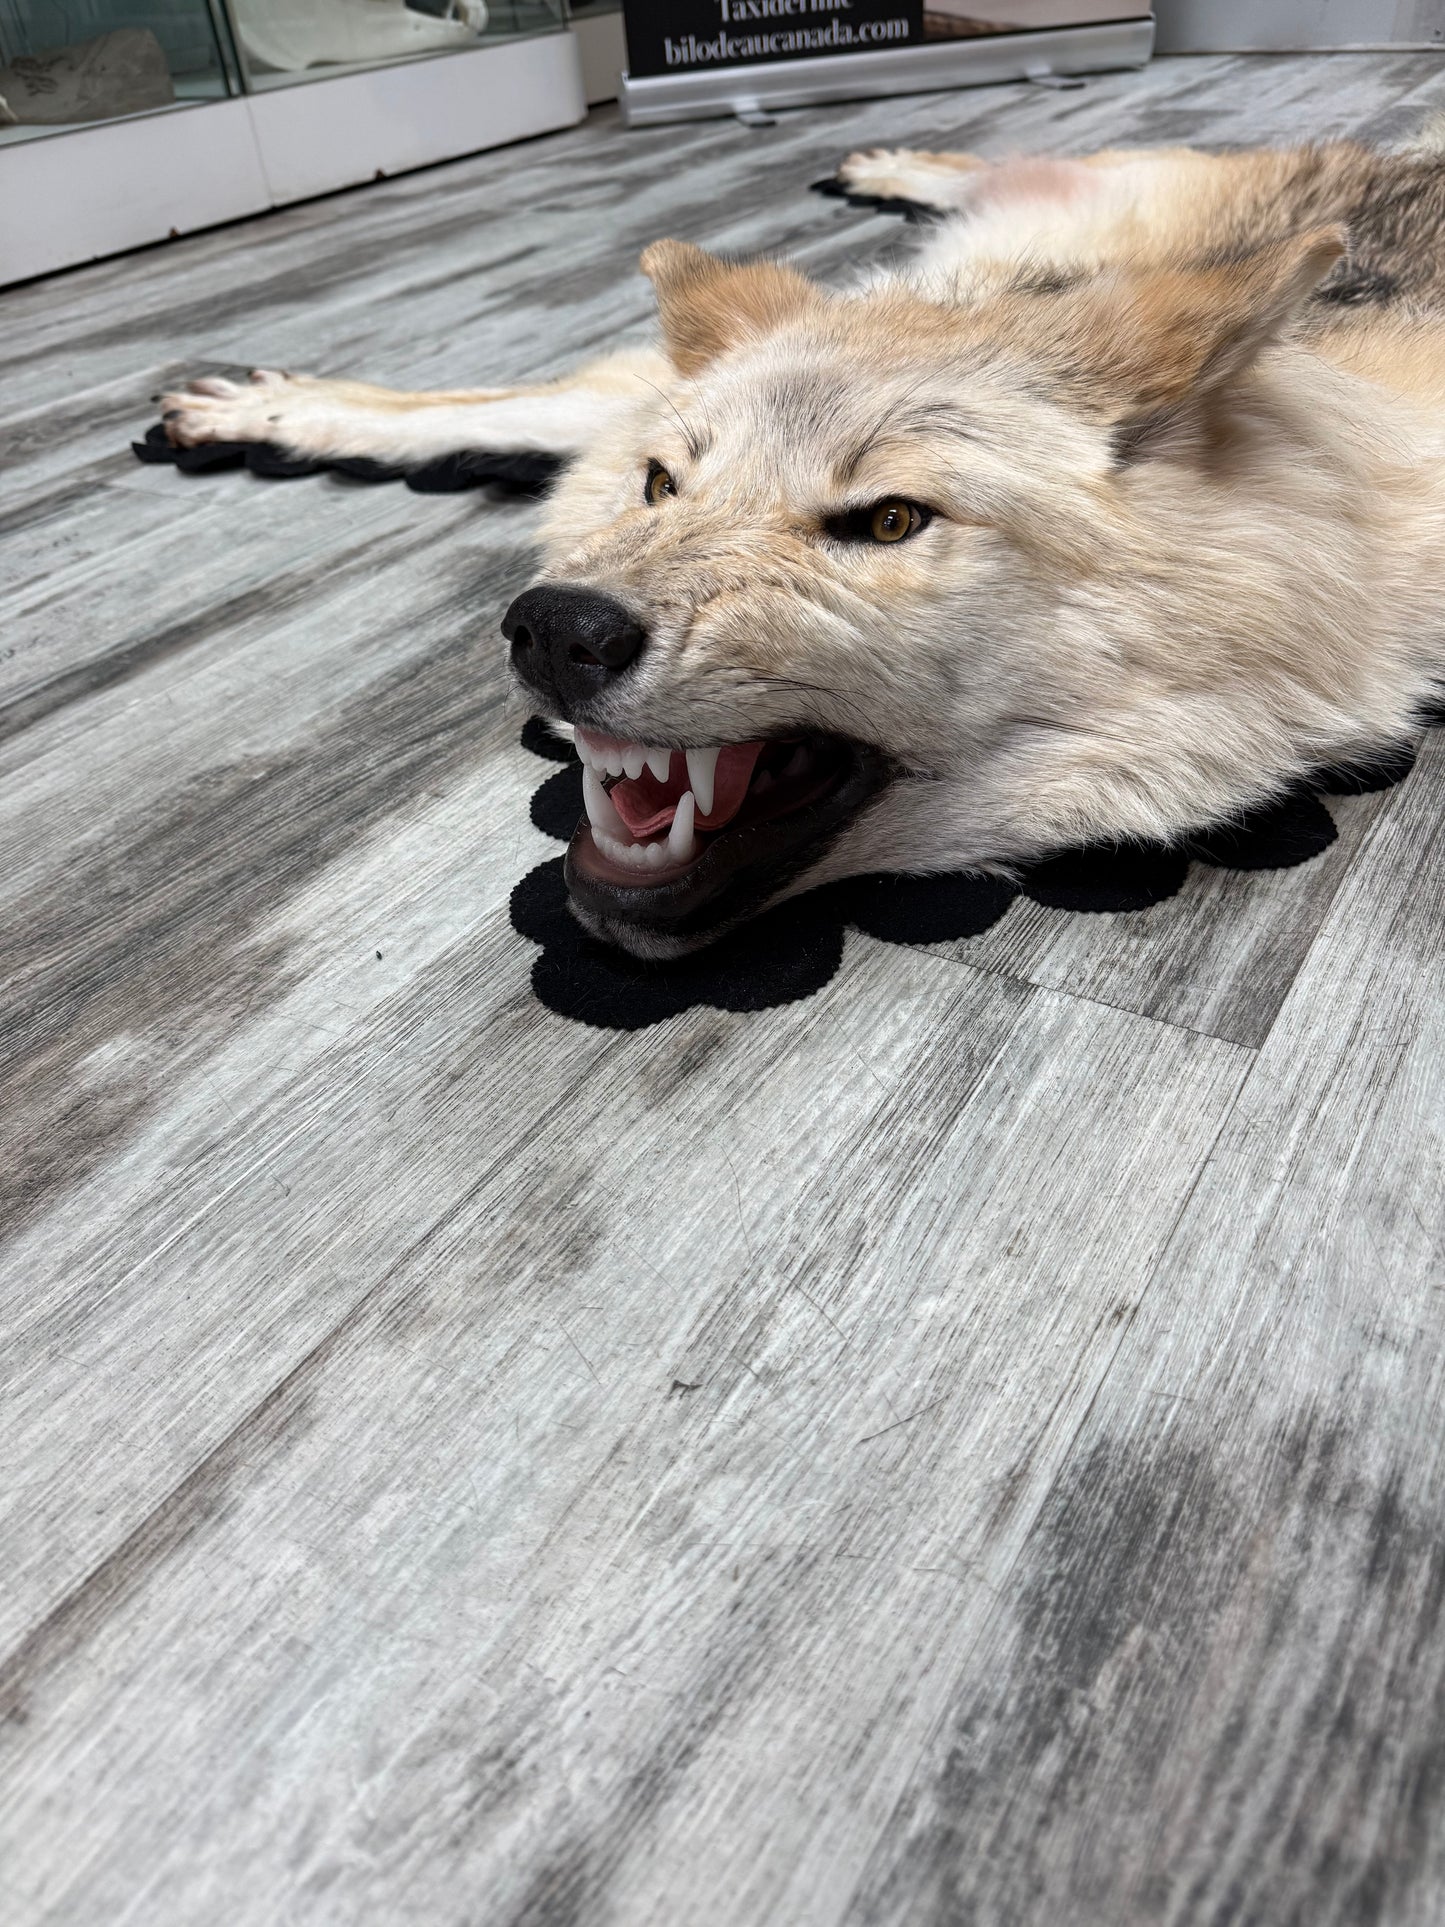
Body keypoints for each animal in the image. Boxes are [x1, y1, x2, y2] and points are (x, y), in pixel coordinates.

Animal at [160, 123, 1445, 957]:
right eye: (662, 487)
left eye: (887, 521)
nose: (554, 631)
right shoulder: (616, 416)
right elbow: (480, 405)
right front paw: (275, 413)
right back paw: (887, 162)